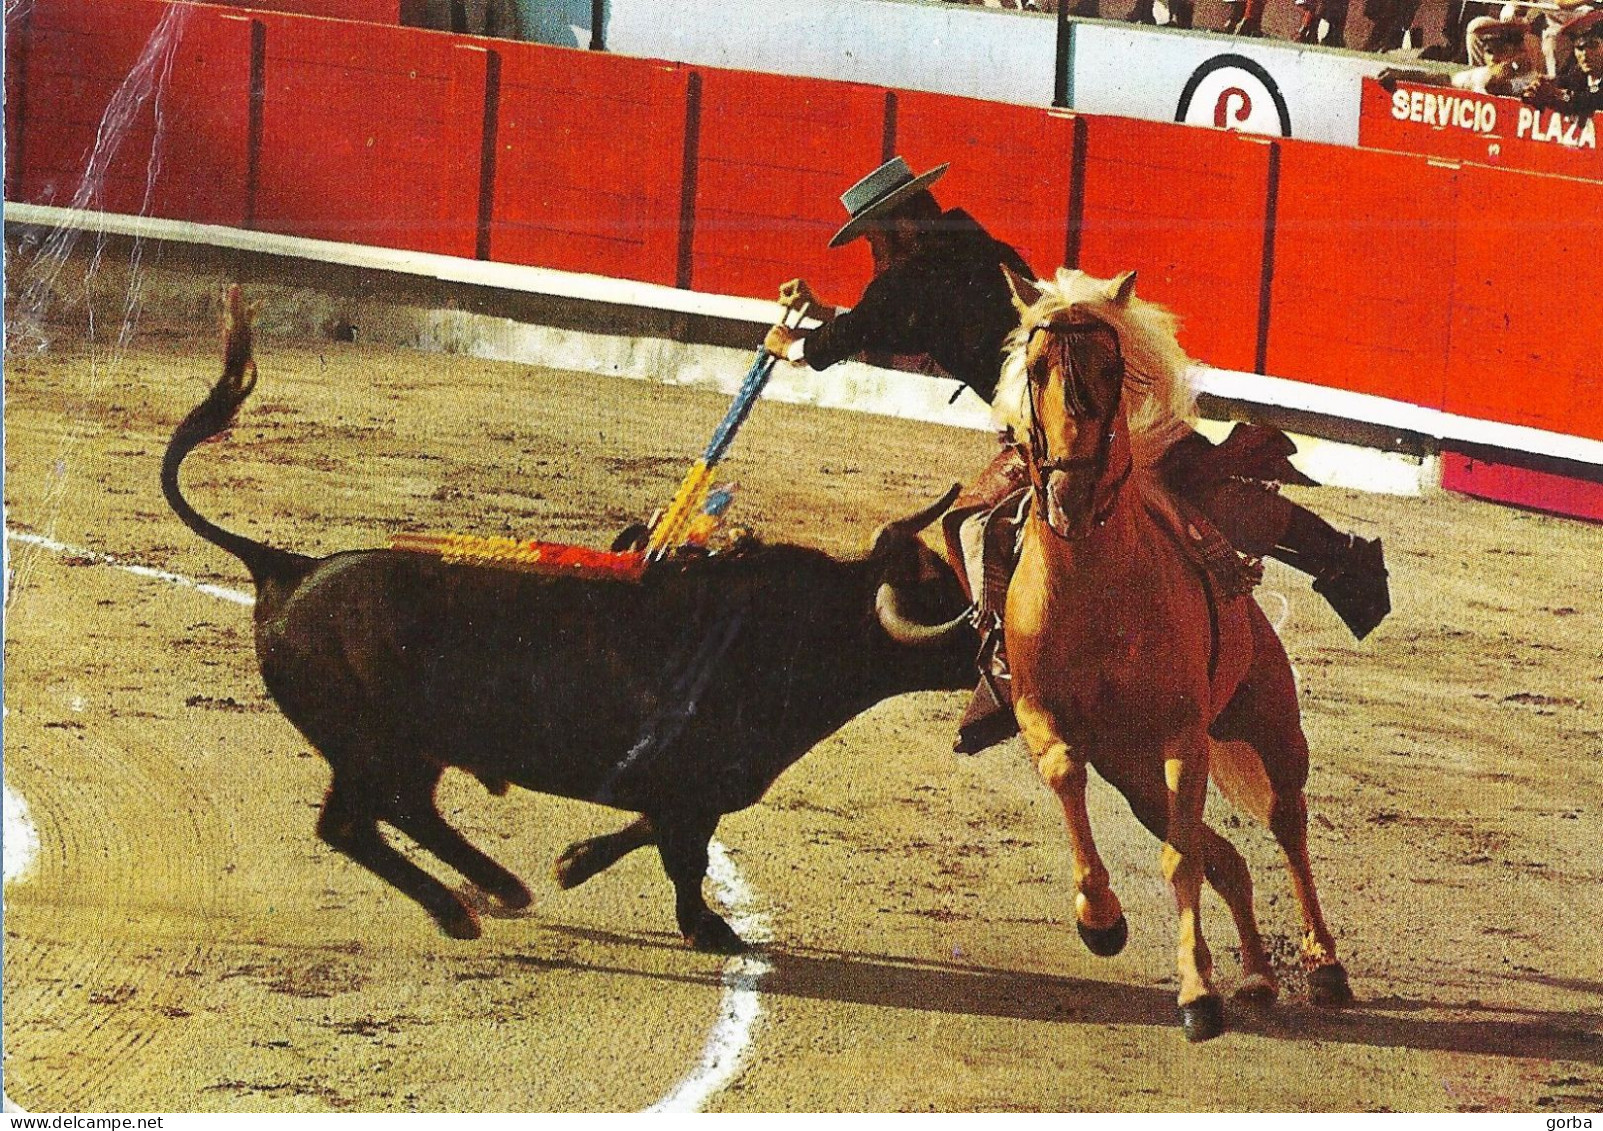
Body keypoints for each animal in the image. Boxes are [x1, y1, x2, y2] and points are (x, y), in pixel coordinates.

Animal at [169, 291, 981, 948]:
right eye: (941, 595)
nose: (991, 645)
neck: (794, 630)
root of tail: (286, 566)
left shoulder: (688, 788)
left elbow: (655, 832)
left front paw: (571, 864)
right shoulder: (692, 788)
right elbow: (684, 854)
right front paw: (708, 929)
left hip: (394, 750)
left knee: (389, 816)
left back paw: (498, 889)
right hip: (373, 745)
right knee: (357, 822)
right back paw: (463, 908)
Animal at [993, 264, 1346, 1038]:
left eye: (1109, 368)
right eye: (1035, 369)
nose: (1069, 494)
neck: (1092, 585)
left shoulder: (1183, 735)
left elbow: (1178, 861)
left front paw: (1196, 994)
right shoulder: (1041, 716)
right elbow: (1067, 775)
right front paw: (1100, 921)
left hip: (1270, 727)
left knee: (1286, 826)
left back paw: (1323, 966)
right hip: (1136, 777)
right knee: (1229, 857)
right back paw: (1256, 976)